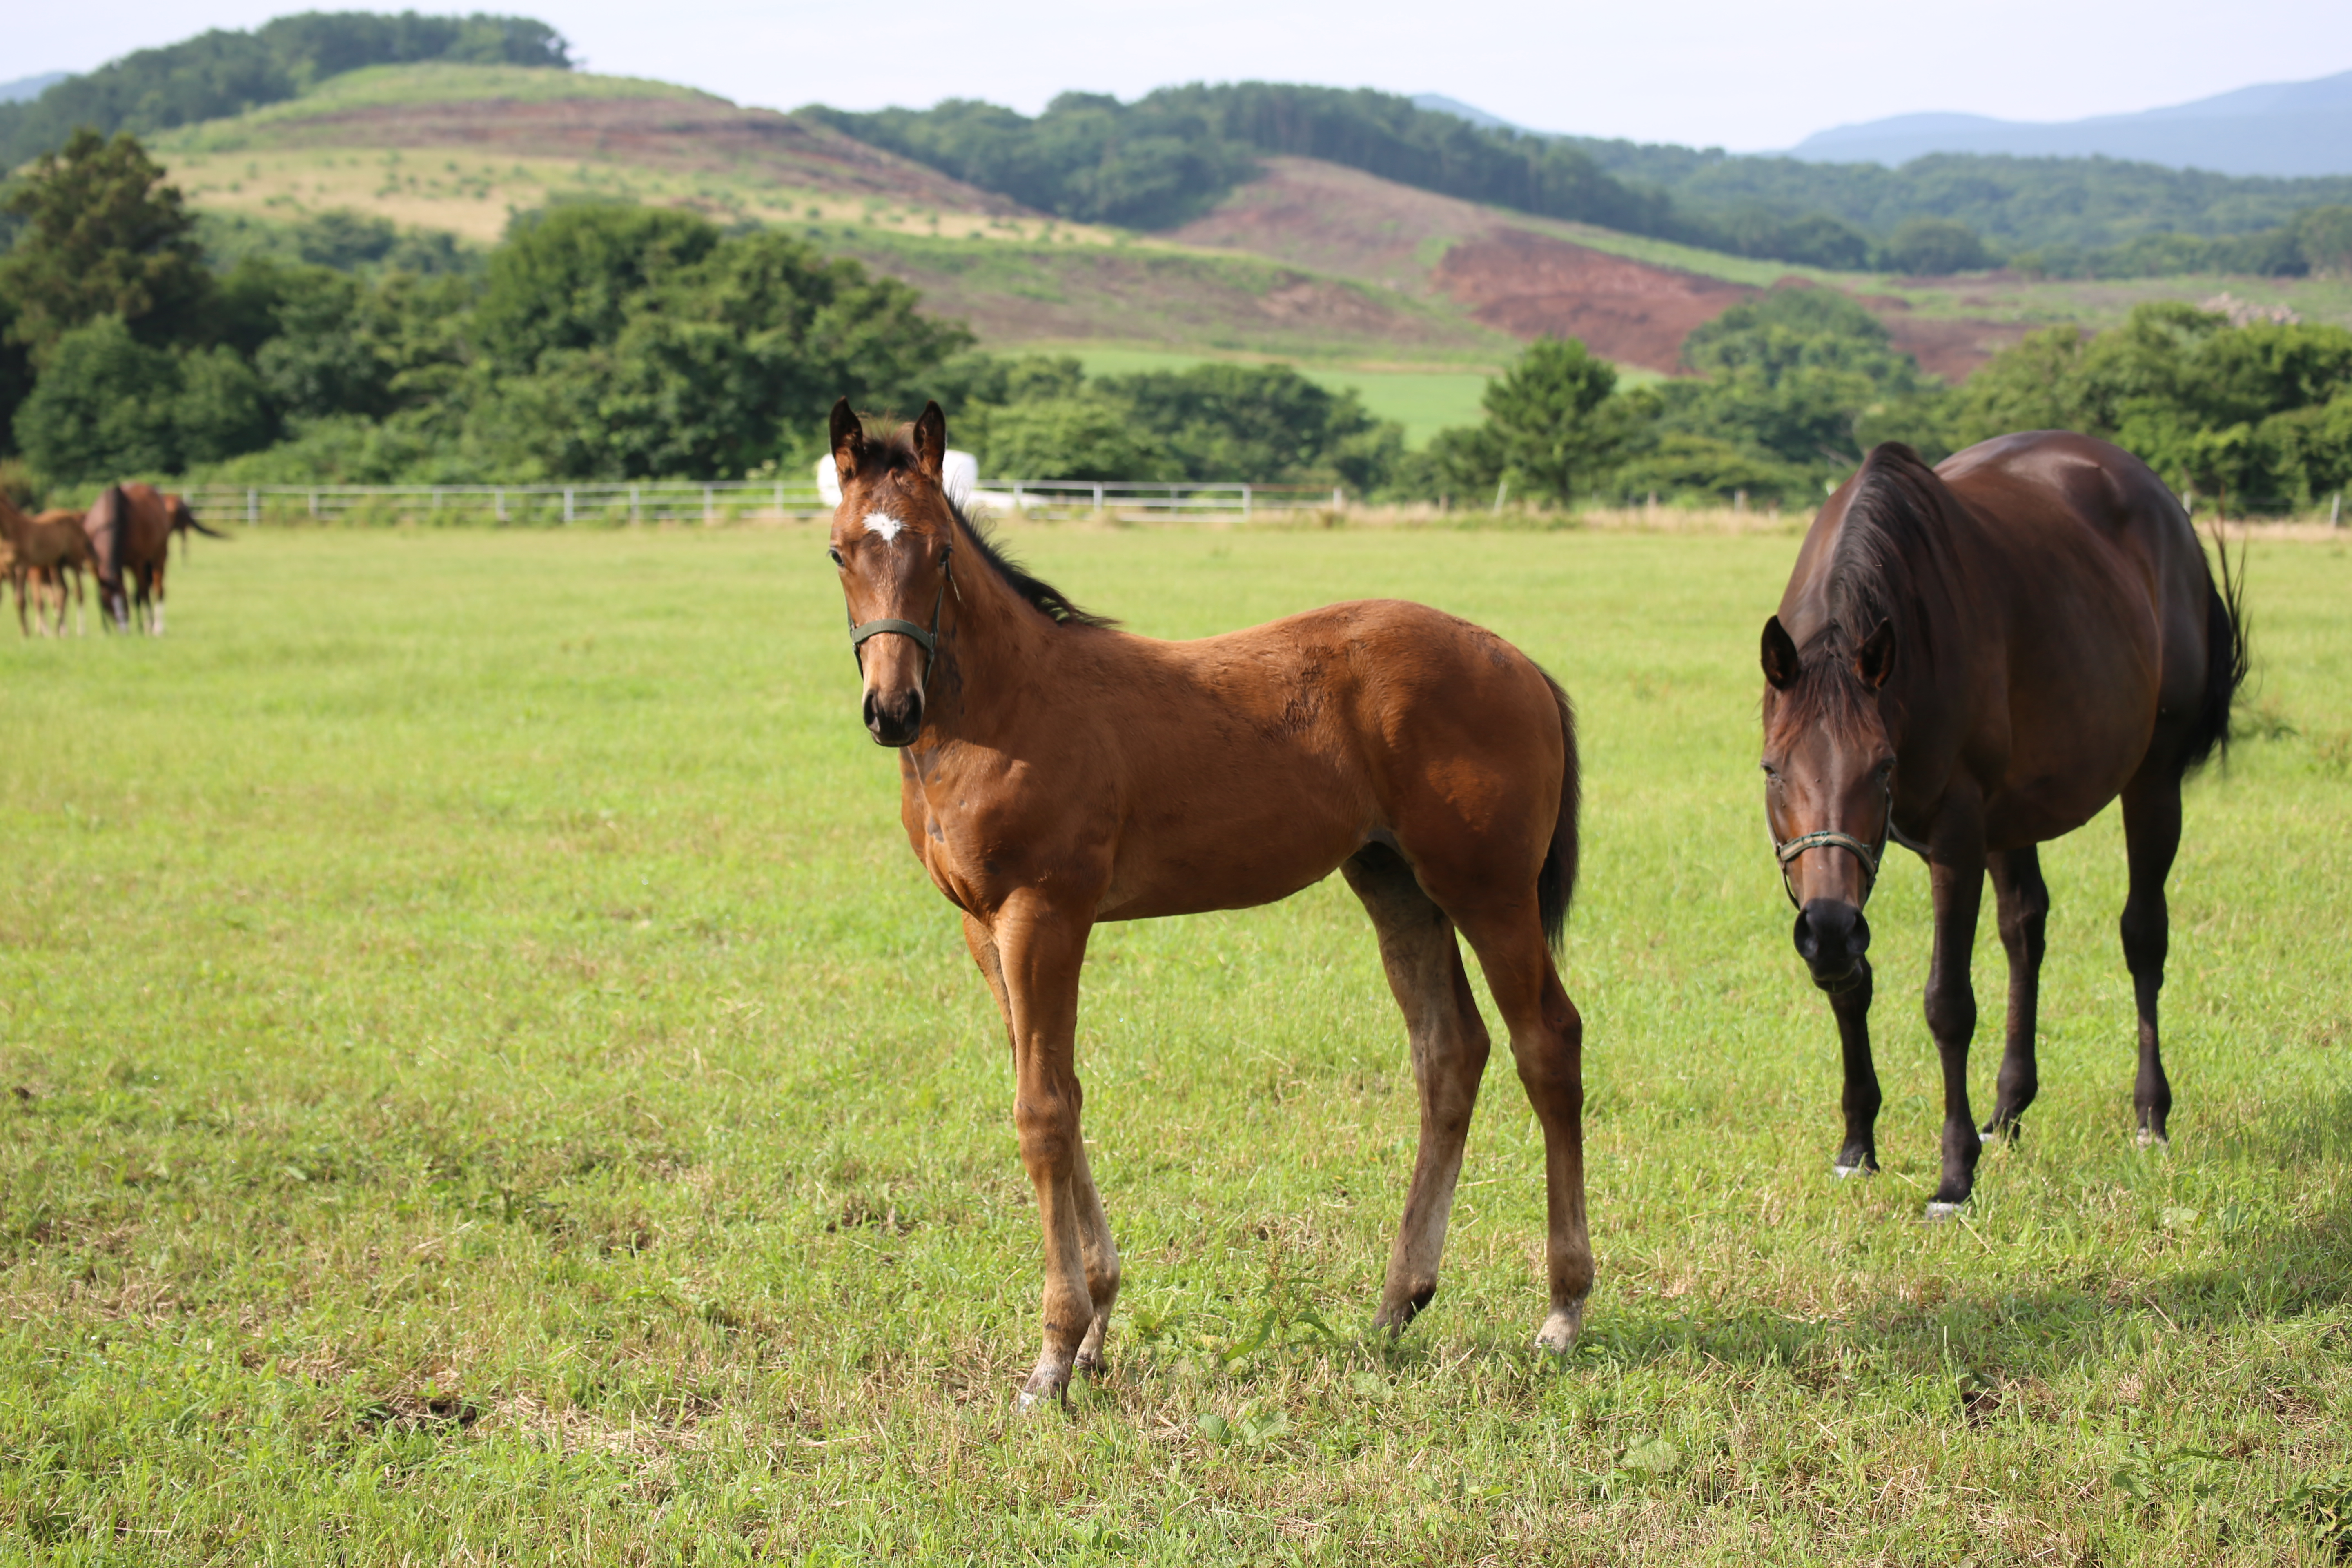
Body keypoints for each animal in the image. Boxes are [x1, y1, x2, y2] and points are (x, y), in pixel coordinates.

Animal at [82, 491, 225, 639]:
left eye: (125, 604)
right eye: (108, 605)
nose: (124, 632)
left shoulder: (138, 564)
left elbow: (142, 593)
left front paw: (145, 627)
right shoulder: (101, 568)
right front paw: (106, 630)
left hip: (160, 555)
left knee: (156, 589)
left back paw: (156, 628)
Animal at [828, 399, 1599, 1401]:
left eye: (939, 551)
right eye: (841, 551)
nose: (892, 711)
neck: (1006, 707)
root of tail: (1521, 663)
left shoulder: (1047, 914)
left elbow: (1042, 1112)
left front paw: (1053, 1356)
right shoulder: (982, 927)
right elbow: (1062, 1092)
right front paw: (1096, 1327)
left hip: (1489, 888)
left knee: (1547, 1042)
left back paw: (1564, 1309)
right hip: (1394, 883)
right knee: (1449, 1051)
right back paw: (1399, 1300)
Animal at [1768, 435, 2239, 1222]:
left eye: (1884, 767)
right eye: (1774, 769)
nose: (1828, 931)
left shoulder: (1957, 837)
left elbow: (1949, 1004)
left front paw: (1954, 1177)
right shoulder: (1839, 881)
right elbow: (1850, 986)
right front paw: (1858, 1144)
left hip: (2153, 782)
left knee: (2144, 934)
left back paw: (2150, 1116)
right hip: (2014, 820)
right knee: (2025, 929)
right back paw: (2009, 1112)